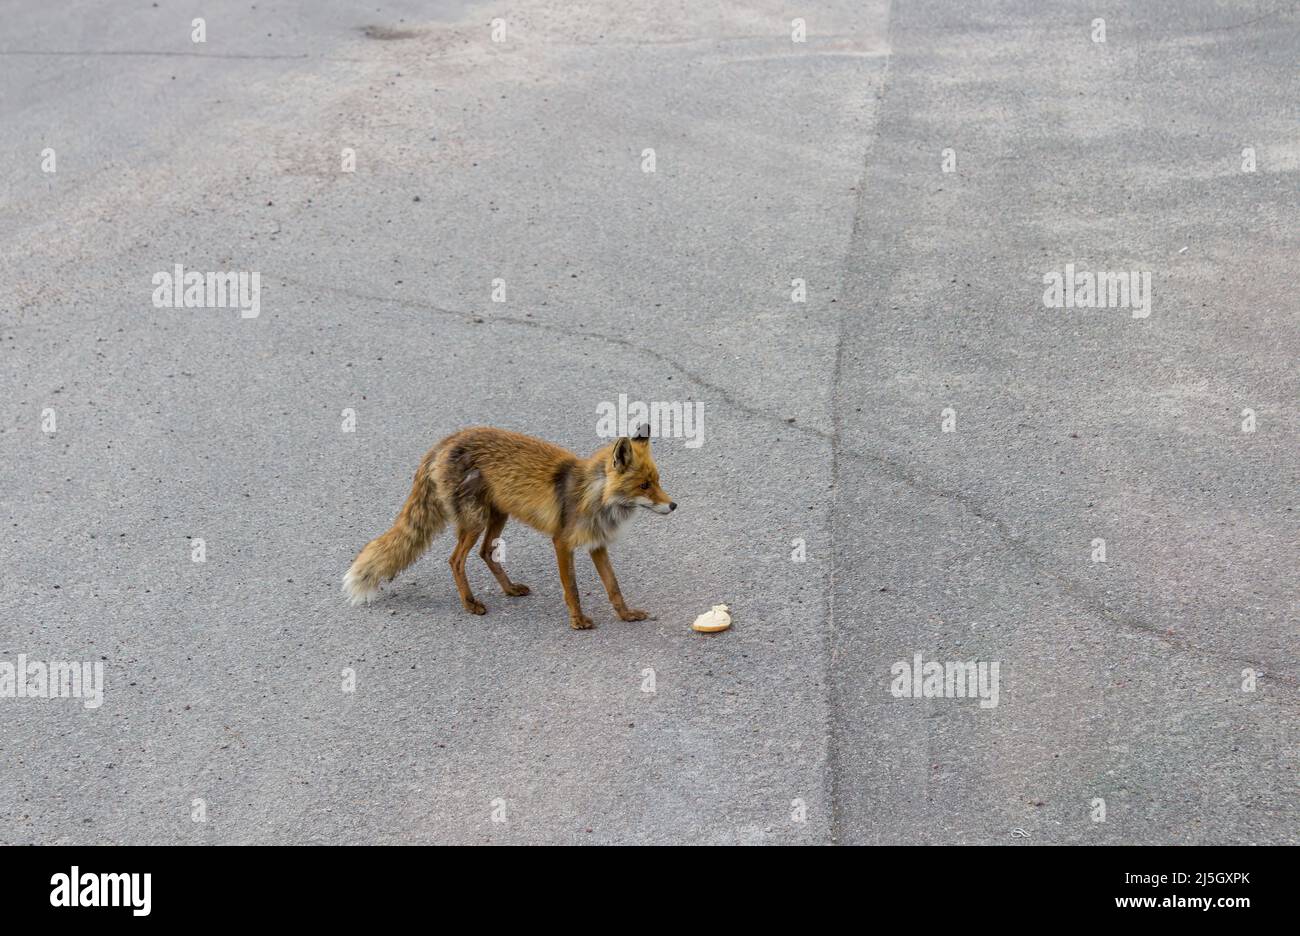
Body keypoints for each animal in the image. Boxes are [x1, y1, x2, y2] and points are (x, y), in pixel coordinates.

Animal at [340, 423, 676, 629]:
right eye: (644, 485)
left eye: (657, 481)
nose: (674, 506)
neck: (591, 496)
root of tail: (448, 439)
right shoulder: (562, 543)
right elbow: (572, 589)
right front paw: (578, 620)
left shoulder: (597, 545)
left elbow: (613, 587)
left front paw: (626, 614)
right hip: (475, 521)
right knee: (456, 560)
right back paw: (470, 604)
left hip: (498, 516)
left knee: (485, 553)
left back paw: (509, 589)